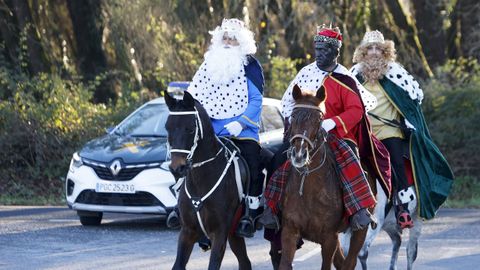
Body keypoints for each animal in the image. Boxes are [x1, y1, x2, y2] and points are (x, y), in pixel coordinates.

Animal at [165, 91, 253, 270]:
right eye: (167, 127)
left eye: (190, 129)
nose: (177, 168)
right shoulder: (187, 232)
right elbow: (178, 264)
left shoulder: (219, 233)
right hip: (234, 235)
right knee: (245, 262)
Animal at [278, 85, 376, 270]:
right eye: (293, 116)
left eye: (319, 119)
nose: (299, 155)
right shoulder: (290, 231)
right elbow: (285, 264)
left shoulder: (329, 236)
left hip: (360, 230)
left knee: (350, 262)